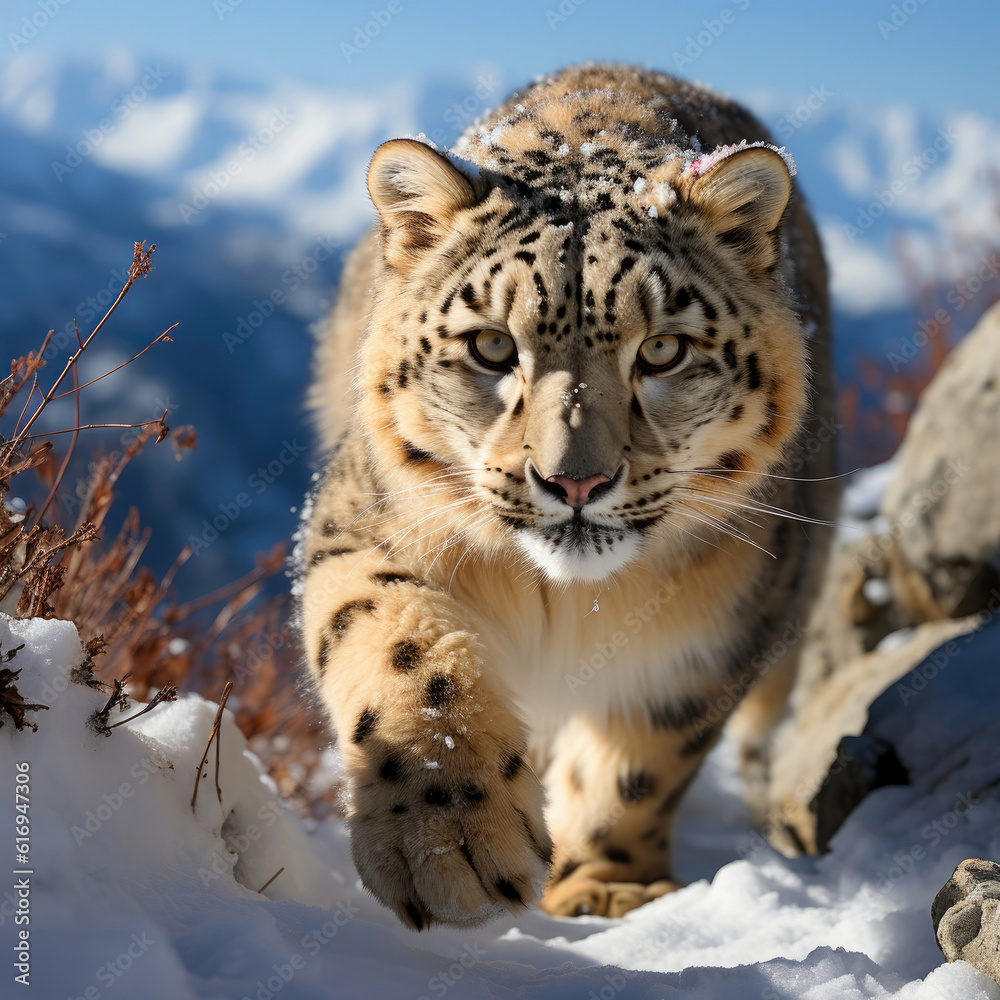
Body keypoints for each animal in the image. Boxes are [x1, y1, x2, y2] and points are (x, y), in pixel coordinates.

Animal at [299, 63, 838, 930]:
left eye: (664, 349)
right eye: (491, 344)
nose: (574, 480)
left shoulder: (719, 630)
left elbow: (642, 762)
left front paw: (605, 886)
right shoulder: (365, 526)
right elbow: (401, 643)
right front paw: (448, 841)